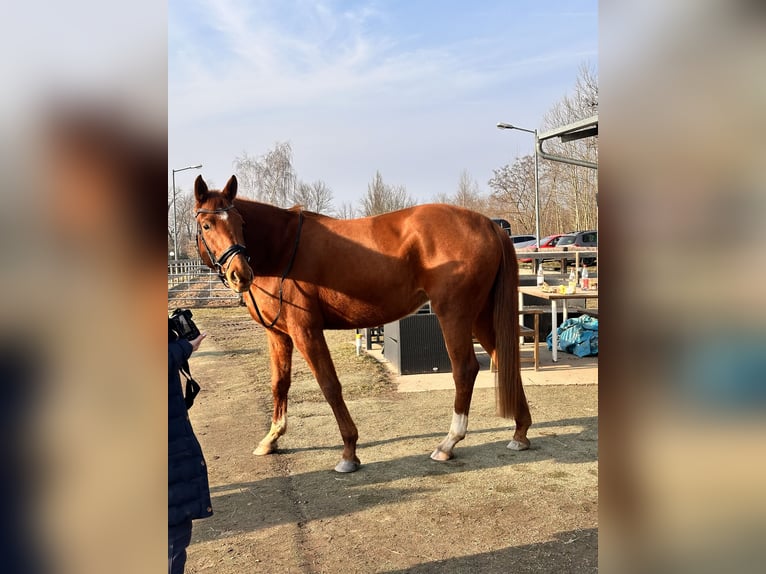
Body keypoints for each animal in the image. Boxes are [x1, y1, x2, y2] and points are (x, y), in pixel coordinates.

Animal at [194, 174, 531, 473]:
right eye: (207, 225)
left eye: (240, 223)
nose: (240, 274)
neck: (282, 246)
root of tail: (489, 224)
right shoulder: (278, 334)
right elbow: (280, 383)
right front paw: (271, 438)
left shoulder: (306, 331)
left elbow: (330, 385)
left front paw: (349, 451)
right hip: (481, 314)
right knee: (504, 358)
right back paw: (520, 431)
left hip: (455, 314)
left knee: (465, 370)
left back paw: (449, 442)